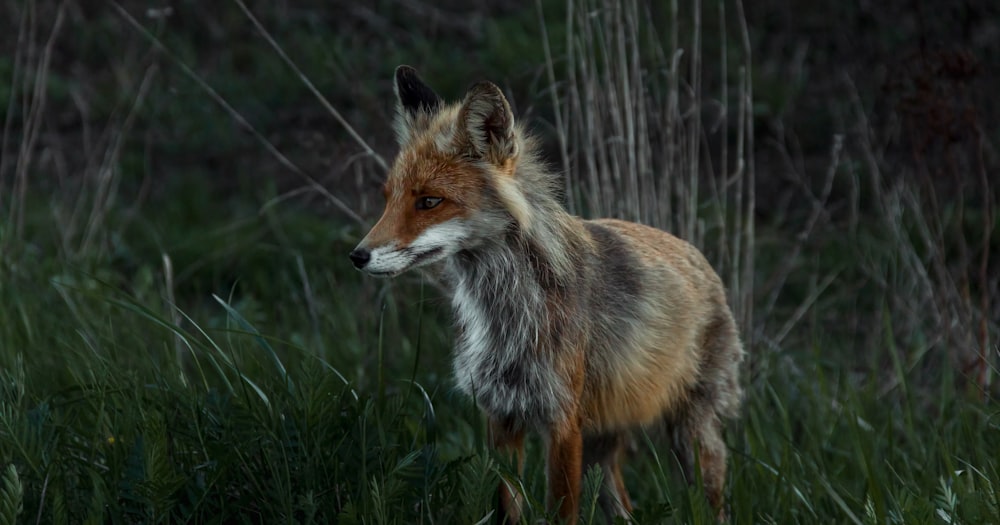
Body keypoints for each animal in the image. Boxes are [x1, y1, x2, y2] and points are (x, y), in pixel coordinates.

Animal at [348, 66, 748, 524]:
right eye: (388, 198)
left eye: (430, 201)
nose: (357, 256)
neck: (506, 312)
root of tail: (701, 261)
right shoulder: (501, 414)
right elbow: (507, 507)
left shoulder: (561, 421)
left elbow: (561, 512)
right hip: (599, 448)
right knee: (624, 508)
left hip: (691, 438)